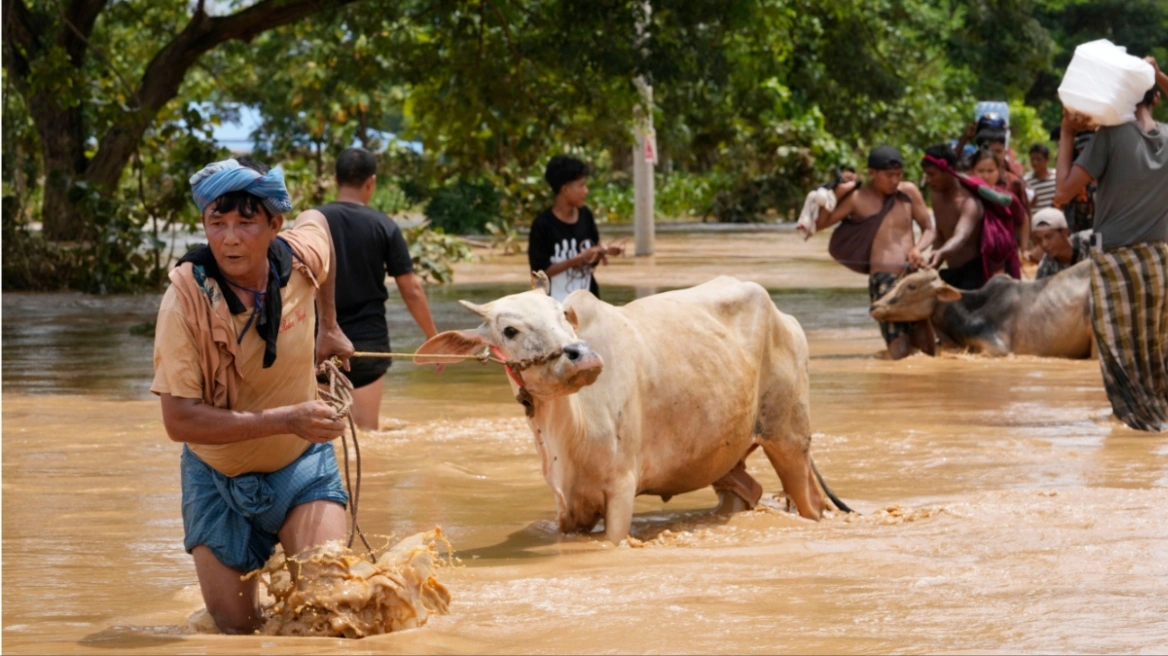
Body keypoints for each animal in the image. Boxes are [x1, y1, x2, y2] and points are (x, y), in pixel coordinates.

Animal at [420, 273, 850, 539]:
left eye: (562, 316)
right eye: (509, 330)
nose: (582, 357)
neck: (568, 430)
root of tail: (785, 317)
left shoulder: (621, 489)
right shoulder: (567, 507)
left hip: (788, 439)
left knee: (811, 503)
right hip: (724, 454)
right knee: (749, 490)